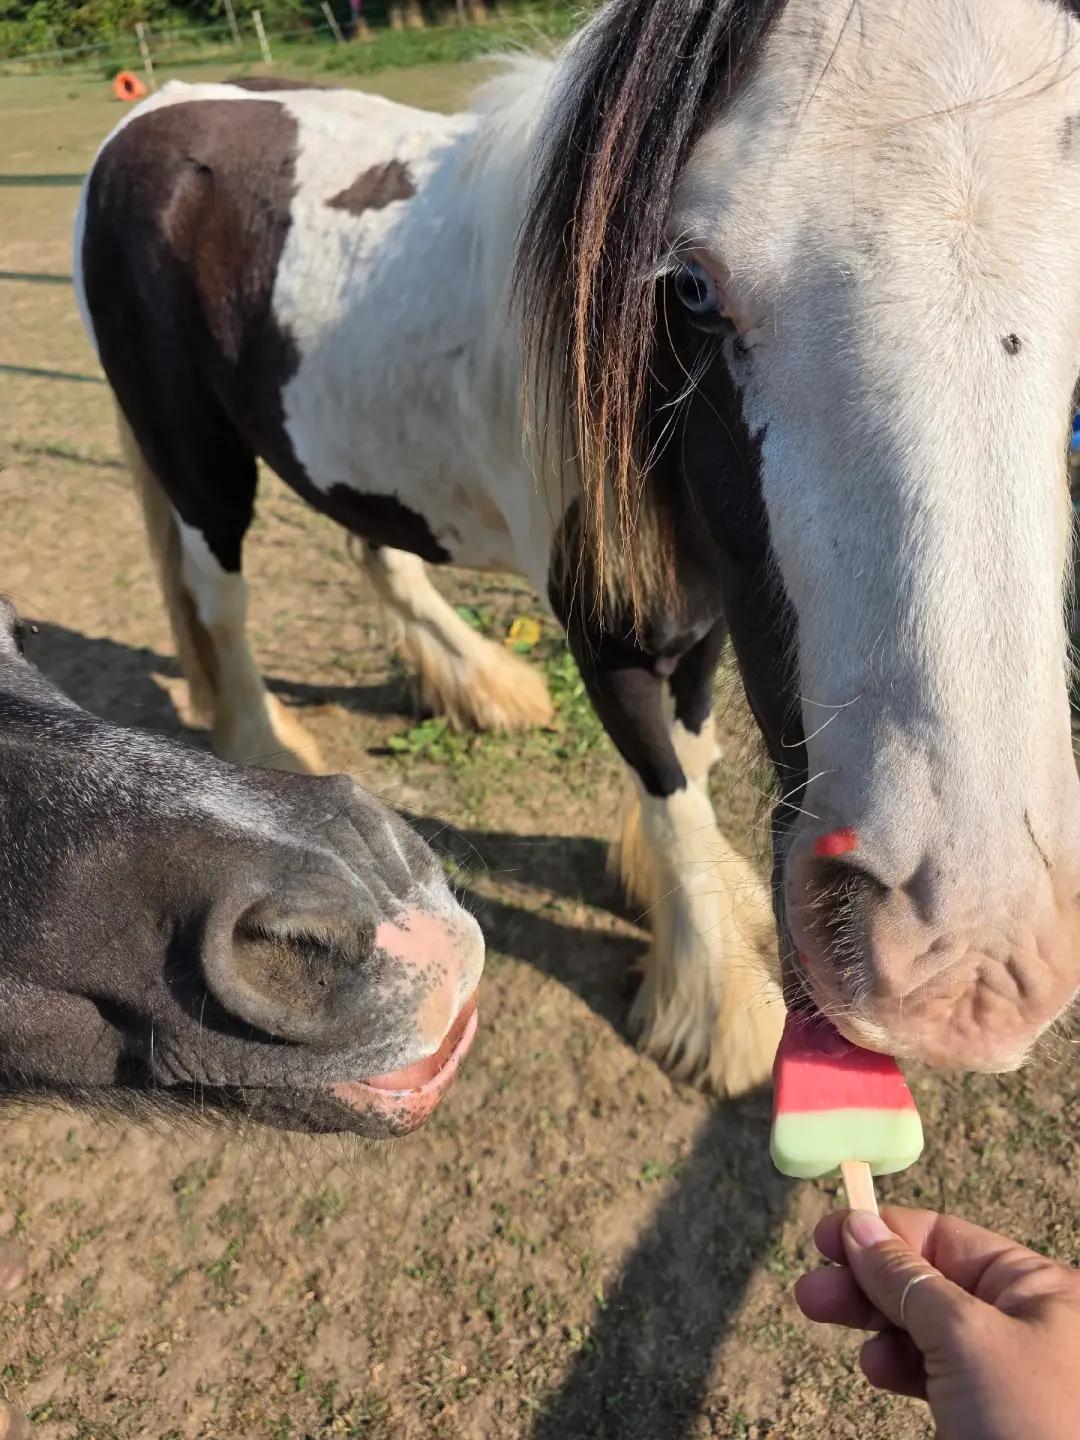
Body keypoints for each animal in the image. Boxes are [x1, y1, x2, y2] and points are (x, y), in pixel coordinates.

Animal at [76, 0, 1080, 1098]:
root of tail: (156, 110)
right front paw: (718, 1002)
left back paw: (480, 684)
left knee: (380, 556)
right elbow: (670, 788)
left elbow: (689, 749)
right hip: (197, 460)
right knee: (221, 599)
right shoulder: (612, 632)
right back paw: (265, 747)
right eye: (689, 284)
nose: (966, 958)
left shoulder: (710, 607)